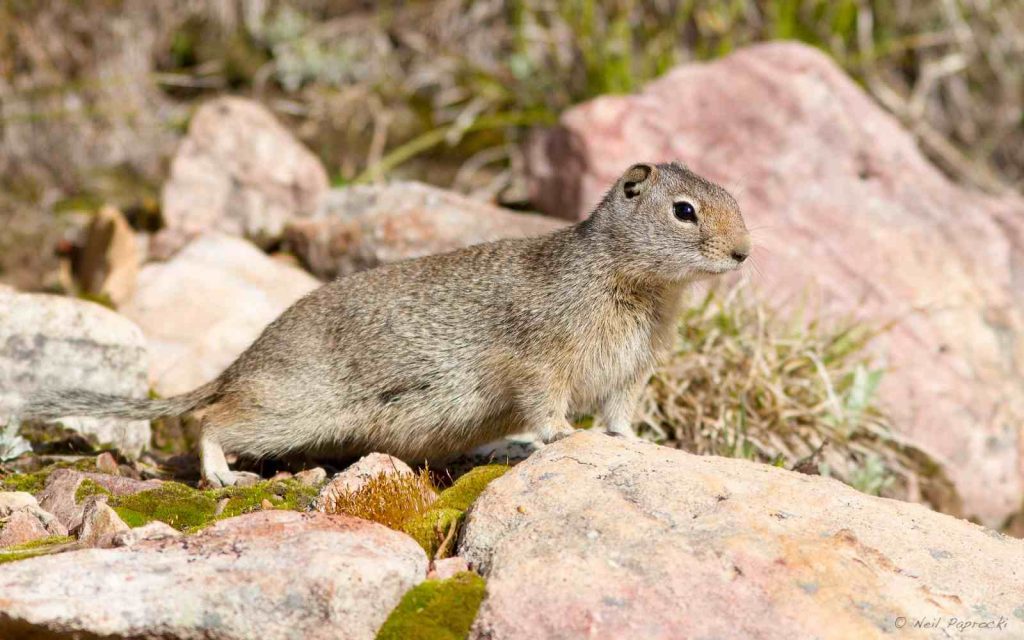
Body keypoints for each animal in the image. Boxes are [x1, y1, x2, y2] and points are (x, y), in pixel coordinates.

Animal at [19, 160, 749, 483]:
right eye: (684, 211)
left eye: (733, 197)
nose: (744, 253)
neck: (637, 285)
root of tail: (244, 361)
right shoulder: (543, 361)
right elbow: (546, 409)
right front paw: (562, 437)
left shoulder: (632, 374)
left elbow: (621, 417)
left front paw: (638, 444)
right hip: (289, 410)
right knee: (210, 419)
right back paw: (221, 473)